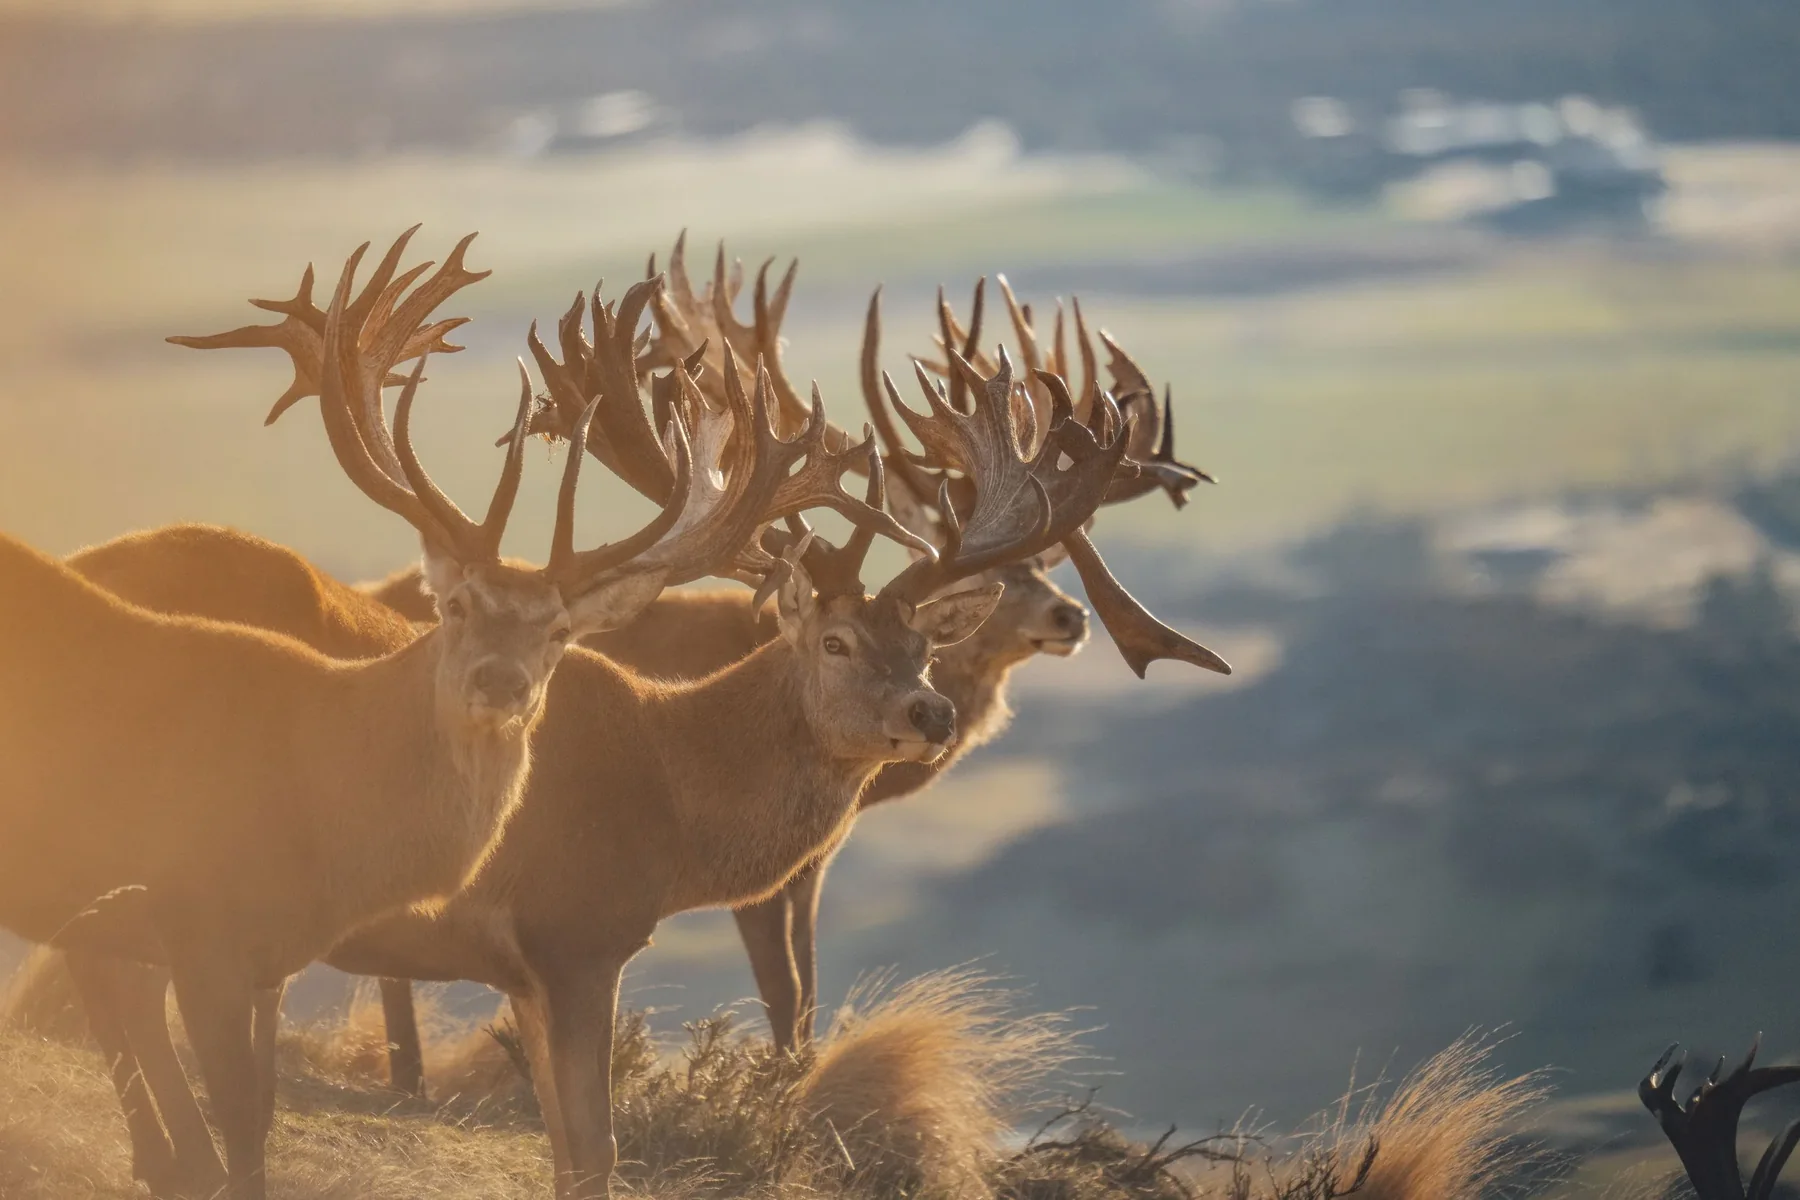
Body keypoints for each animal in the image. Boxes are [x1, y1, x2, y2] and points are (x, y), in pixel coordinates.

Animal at [0, 227, 709, 1200]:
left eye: (560, 633)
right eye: (455, 605)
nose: (500, 683)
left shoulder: (242, 949)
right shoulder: (195, 921)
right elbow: (236, 1136)